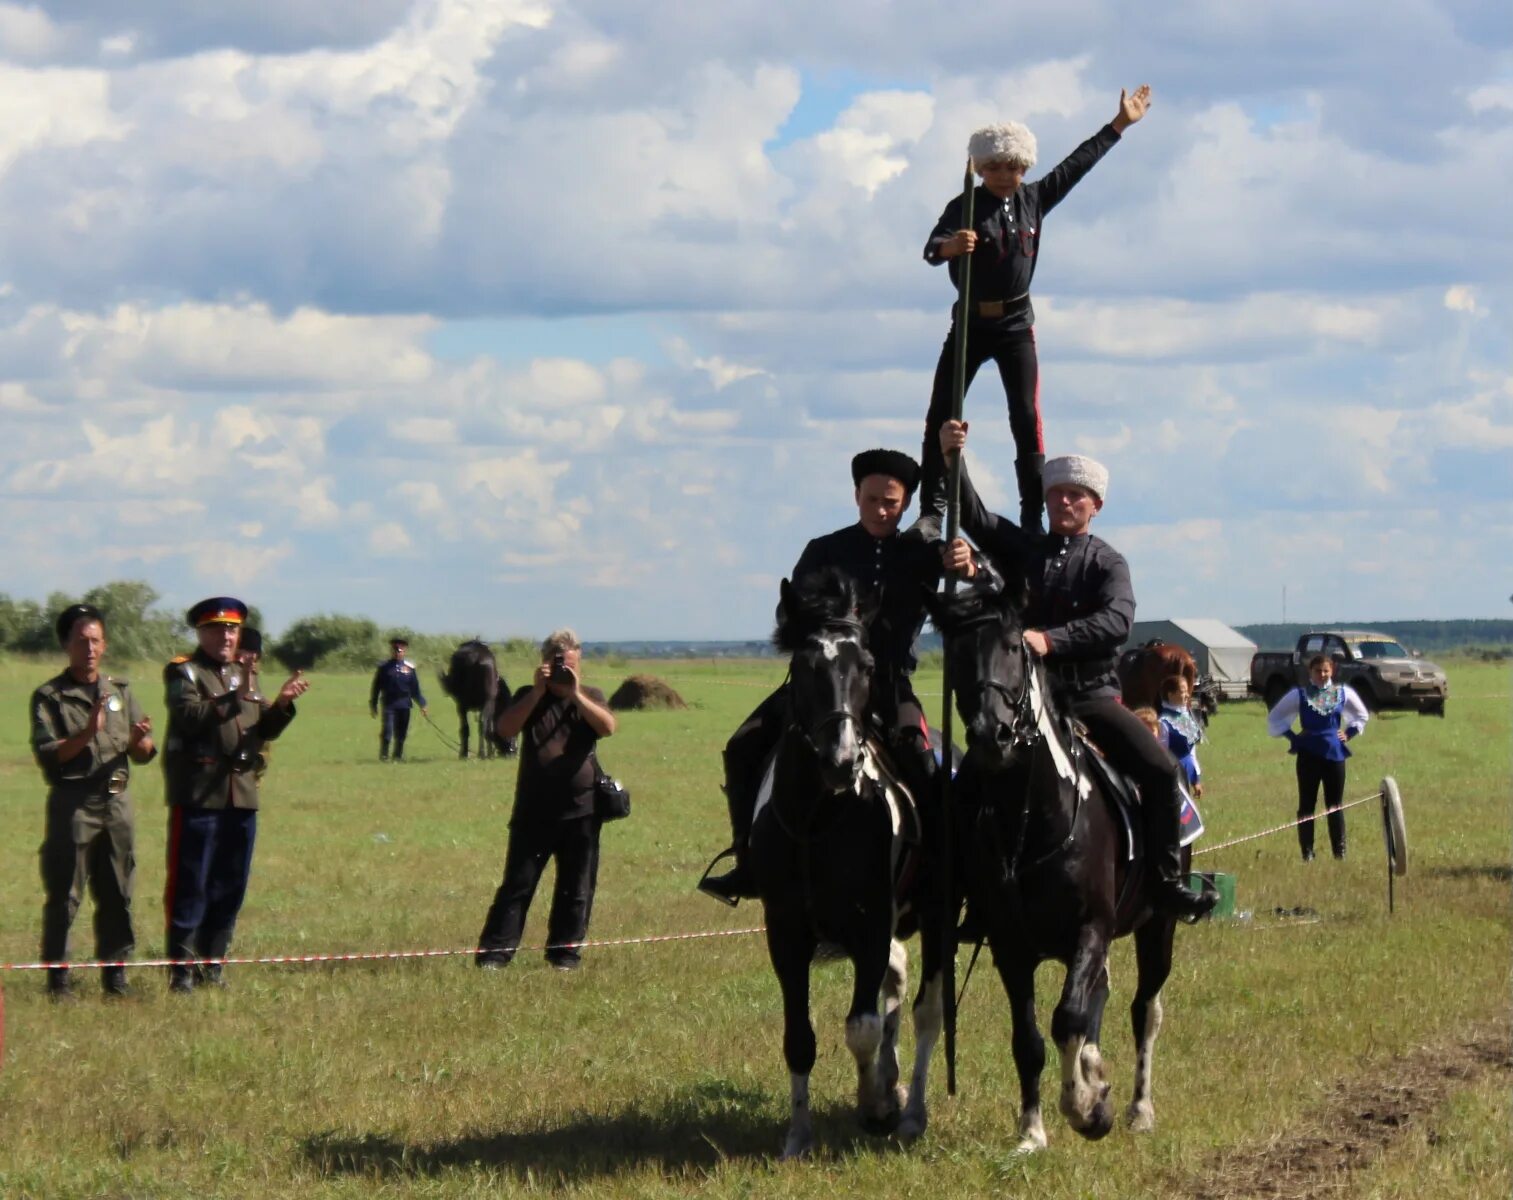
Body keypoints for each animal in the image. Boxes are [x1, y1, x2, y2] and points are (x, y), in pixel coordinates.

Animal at [753, 572, 944, 1162]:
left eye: (866, 665)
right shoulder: (786, 933)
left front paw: (876, 1107)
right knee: (898, 985)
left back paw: (910, 1111)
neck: (819, 818)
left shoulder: (871, 924)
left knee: (926, 1012)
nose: (841, 761)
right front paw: (798, 1136)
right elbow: (800, 1038)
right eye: (805, 665)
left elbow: (861, 1028)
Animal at [932, 575, 1192, 1156]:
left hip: (1158, 926)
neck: (1034, 820)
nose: (992, 735)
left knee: (1145, 1010)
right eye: (956, 655)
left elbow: (1068, 1018)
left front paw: (1086, 1110)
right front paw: (1033, 1131)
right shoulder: (1010, 946)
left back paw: (1139, 1109)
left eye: (1013, 647)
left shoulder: (1090, 928)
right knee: (1101, 997)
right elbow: (1029, 1039)